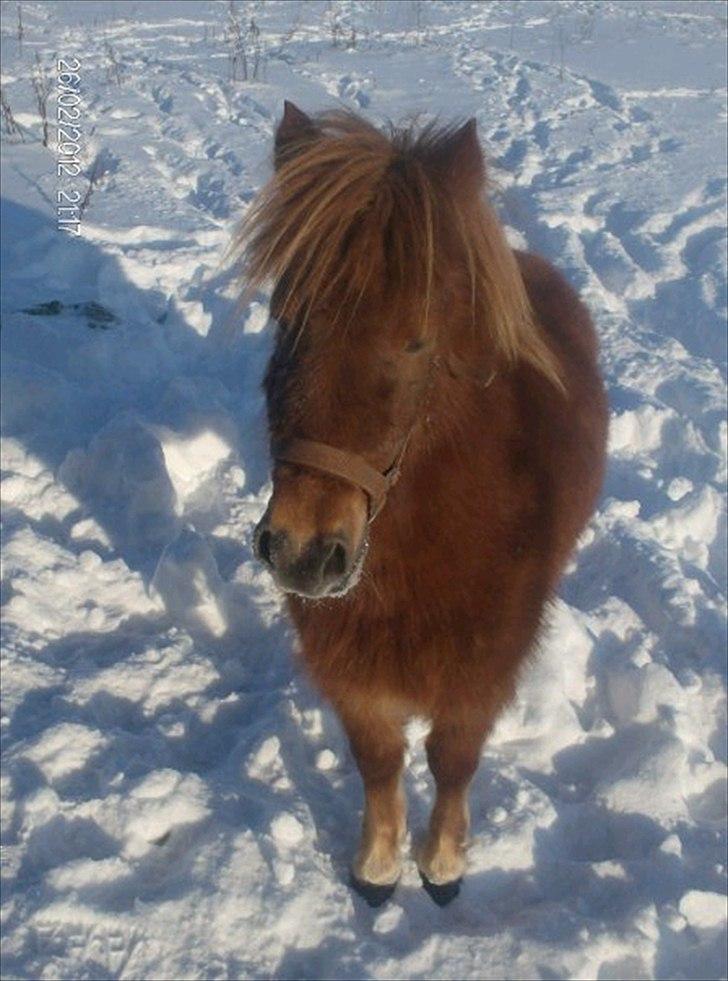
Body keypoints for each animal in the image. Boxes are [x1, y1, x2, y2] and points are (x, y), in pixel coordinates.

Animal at [233, 103, 608, 908]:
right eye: (285, 317)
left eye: (416, 340)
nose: (304, 551)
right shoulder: (348, 663)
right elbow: (379, 758)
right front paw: (377, 867)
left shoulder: (481, 668)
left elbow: (452, 758)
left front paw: (442, 863)